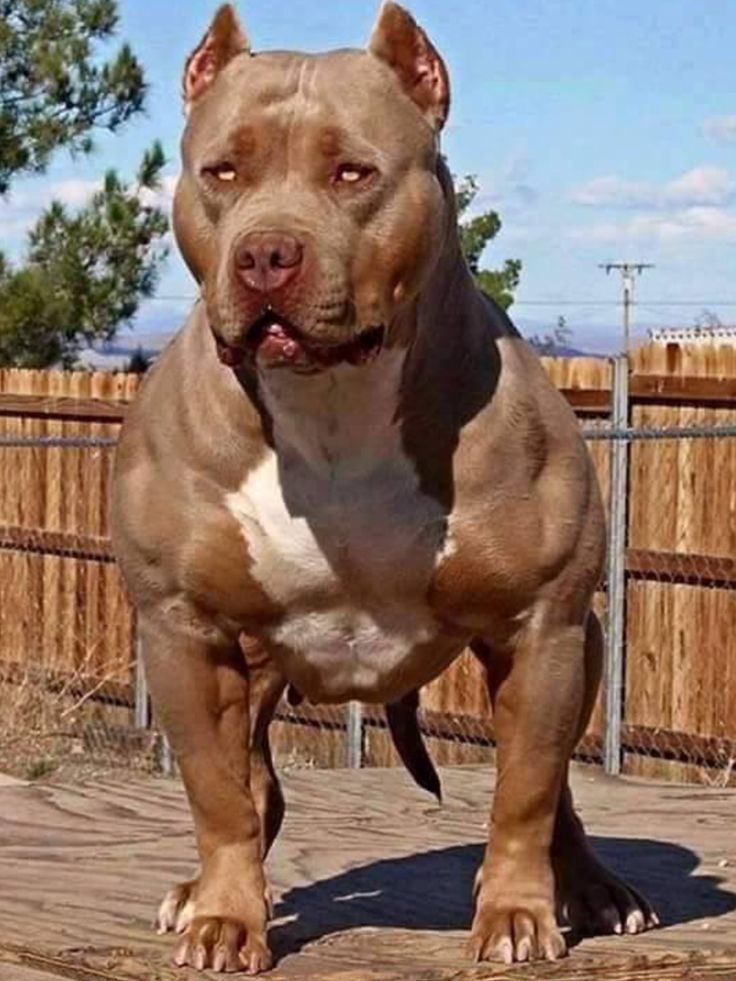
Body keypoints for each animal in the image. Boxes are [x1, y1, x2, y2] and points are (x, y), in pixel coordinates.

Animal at [112, 3, 660, 972]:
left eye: (352, 172)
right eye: (222, 171)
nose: (266, 254)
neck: (332, 403)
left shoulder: (542, 625)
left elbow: (524, 790)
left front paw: (516, 913)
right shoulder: (183, 627)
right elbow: (218, 794)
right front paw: (226, 917)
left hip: (583, 647)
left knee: (556, 783)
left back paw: (593, 889)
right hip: (253, 666)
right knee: (256, 784)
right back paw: (204, 893)